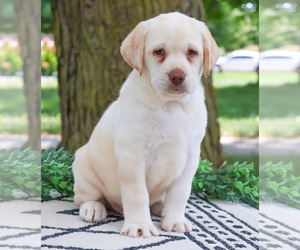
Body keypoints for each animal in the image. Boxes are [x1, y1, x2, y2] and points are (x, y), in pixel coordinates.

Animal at [72, 11, 218, 237]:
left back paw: (161, 208)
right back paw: (93, 208)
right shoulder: (133, 157)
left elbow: (180, 194)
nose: (177, 76)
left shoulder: (191, 158)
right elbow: (137, 194)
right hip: (83, 166)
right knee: (86, 197)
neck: (171, 105)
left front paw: (175, 220)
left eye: (192, 52)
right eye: (159, 51)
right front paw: (139, 226)